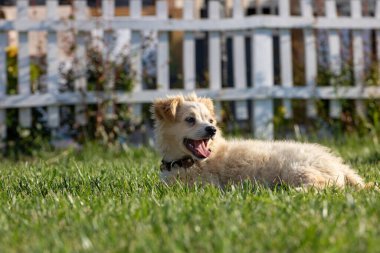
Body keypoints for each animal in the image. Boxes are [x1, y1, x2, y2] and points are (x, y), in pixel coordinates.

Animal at [151, 94, 366, 189]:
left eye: (210, 121)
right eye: (190, 119)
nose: (212, 130)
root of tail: (338, 164)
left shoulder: (205, 185)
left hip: (296, 169)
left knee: (327, 185)